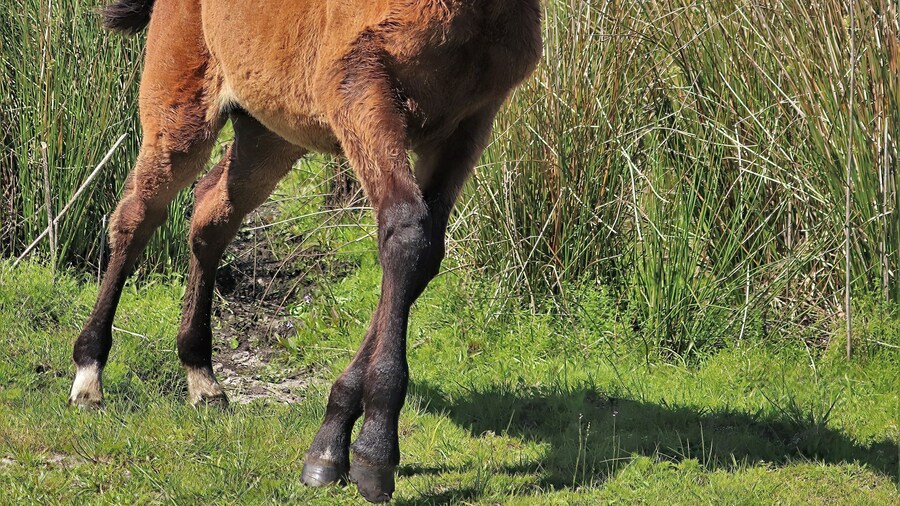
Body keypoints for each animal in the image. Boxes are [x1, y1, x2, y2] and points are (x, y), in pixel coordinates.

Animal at [68, 0, 541, 501]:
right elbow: (406, 231)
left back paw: (202, 377)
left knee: (211, 215)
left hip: (270, 130)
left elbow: (423, 254)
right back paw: (89, 376)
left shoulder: (469, 121)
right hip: (180, 110)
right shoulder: (360, 86)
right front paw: (374, 451)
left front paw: (332, 444)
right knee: (137, 217)